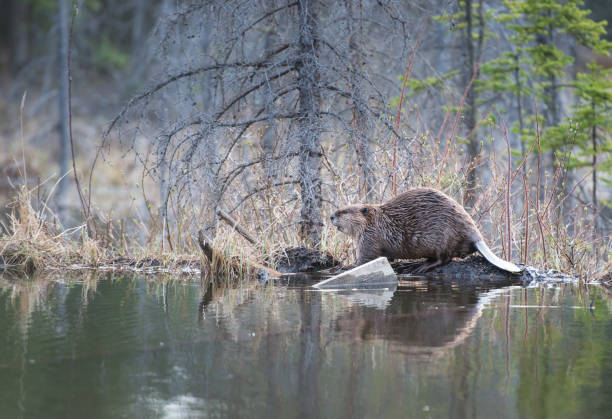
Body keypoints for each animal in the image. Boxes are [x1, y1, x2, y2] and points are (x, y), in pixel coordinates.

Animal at [330, 188, 520, 274]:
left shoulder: (370, 237)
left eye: (343, 211)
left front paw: (346, 267)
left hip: (443, 238)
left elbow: (365, 258)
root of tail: (476, 238)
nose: (331, 216)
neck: (378, 221)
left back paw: (420, 267)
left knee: (445, 258)